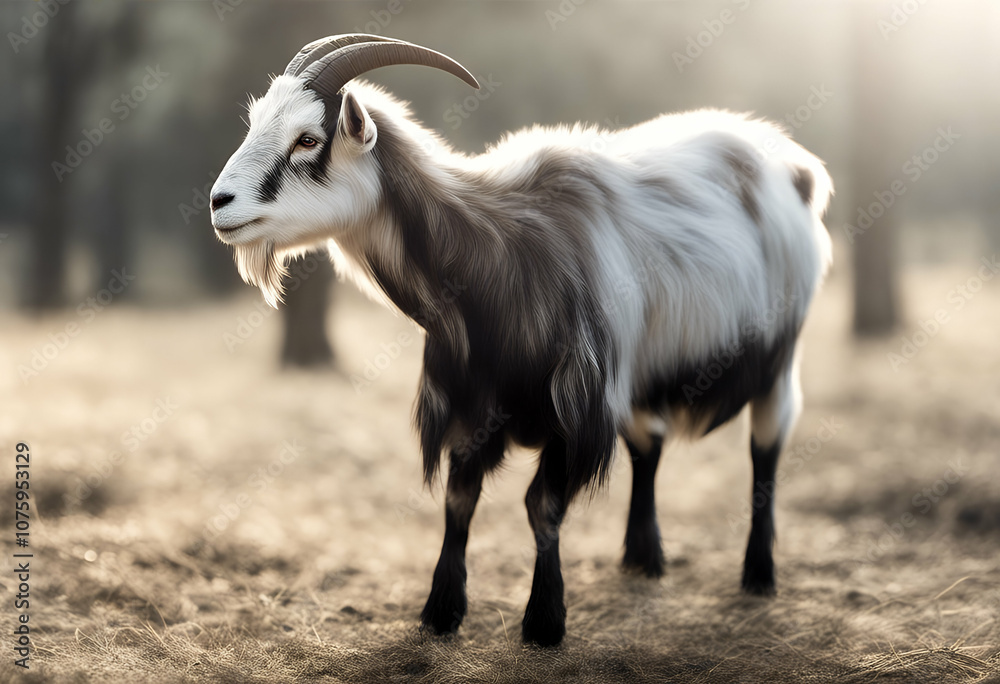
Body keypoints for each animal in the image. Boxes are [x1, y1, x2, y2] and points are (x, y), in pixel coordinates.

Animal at [210, 34, 833, 647]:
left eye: (307, 139)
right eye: (255, 121)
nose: (219, 203)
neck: (498, 251)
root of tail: (796, 167)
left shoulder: (575, 405)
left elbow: (543, 507)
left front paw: (544, 621)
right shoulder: (471, 403)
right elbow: (459, 502)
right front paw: (441, 612)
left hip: (779, 359)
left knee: (765, 450)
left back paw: (757, 575)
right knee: (648, 446)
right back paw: (643, 560)